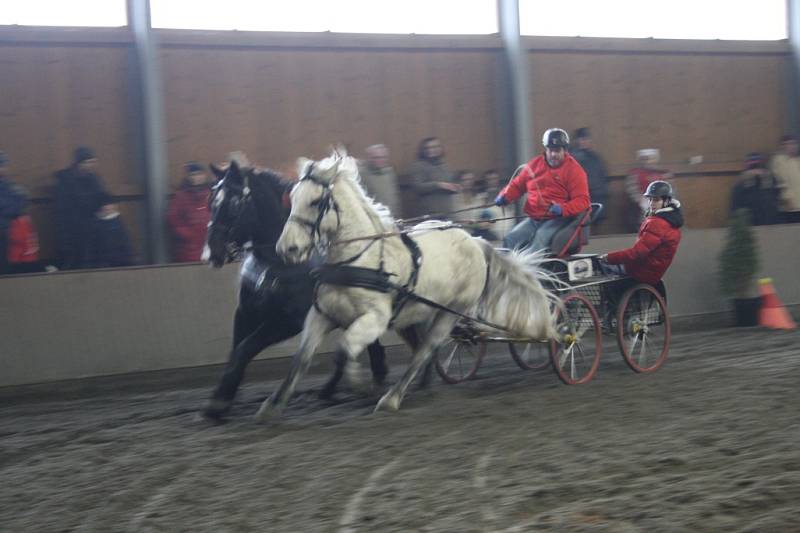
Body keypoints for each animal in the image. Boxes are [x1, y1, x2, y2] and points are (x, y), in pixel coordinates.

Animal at [200, 161, 388, 420]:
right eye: (211, 201)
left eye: (235, 203)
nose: (212, 252)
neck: (276, 262)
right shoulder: (246, 312)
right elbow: (235, 351)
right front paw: (222, 398)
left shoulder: (288, 322)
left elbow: (245, 348)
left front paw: (220, 402)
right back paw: (333, 388)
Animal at [256, 150, 556, 420]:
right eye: (292, 198)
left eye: (317, 201)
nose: (288, 249)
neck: (360, 259)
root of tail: (474, 241)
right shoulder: (321, 315)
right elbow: (302, 358)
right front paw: (272, 406)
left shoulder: (375, 320)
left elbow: (343, 349)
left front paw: (358, 384)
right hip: (418, 313)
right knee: (420, 348)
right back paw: (420, 386)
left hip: (450, 313)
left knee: (424, 351)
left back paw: (392, 398)